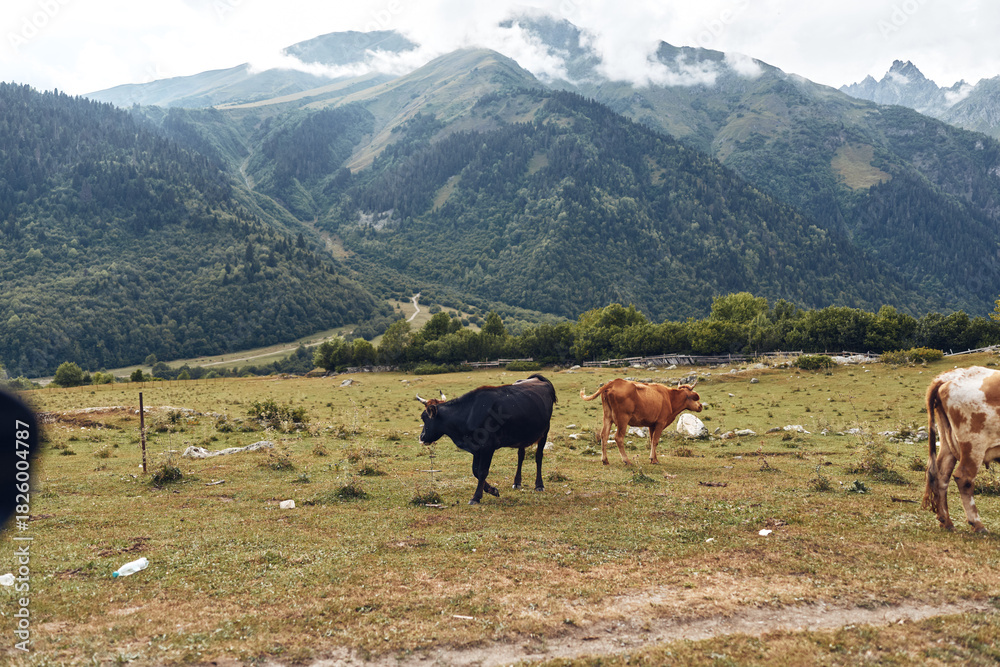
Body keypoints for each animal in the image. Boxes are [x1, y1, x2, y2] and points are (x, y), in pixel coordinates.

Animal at [416, 374, 557, 505]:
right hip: (523, 435)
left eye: (424, 417)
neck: (468, 413)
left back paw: (539, 485)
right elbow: (475, 471)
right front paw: (492, 490)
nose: (422, 437)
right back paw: (517, 482)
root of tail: (538, 379)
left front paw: (476, 497)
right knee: (521, 455)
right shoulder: (476, 448)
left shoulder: (488, 447)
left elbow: (482, 471)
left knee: (538, 456)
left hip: (545, 431)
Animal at [922, 366, 1000, 532]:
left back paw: (946, 521)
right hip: (973, 445)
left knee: (941, 476)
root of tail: (952, 375)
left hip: (947, 443)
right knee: (964, 478)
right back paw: (977, 523)